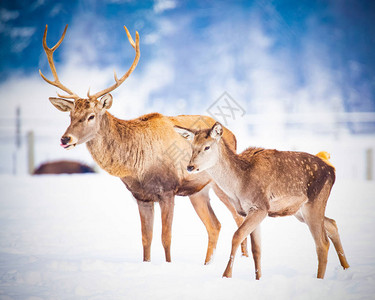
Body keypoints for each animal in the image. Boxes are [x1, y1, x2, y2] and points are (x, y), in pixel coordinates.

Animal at [39, 25, 256, 264]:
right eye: (70, 115)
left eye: (91, 116)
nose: (65, 139)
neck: (136, 166)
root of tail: (232, 135)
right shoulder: (141, 197)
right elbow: (146, 239)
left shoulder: (168, 190)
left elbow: (166, 238)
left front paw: (168, 264)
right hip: (198, 191)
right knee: (215, 225)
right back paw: (207, 264)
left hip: (221, 184)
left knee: (237, 218)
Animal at [175, 122, 352, 278]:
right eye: (192, 147)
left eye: (207, 147)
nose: (190, 167)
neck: (238, 185)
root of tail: (332, 170)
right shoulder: (251, 211)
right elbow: (257, 250)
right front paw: (258, 278)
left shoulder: (260, 206)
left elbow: (237, 236)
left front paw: (226, 275)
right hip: (300, 211)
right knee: (332, 223)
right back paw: (346, 268)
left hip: (315, 201)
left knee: (322, 243)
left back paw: (320, 278)